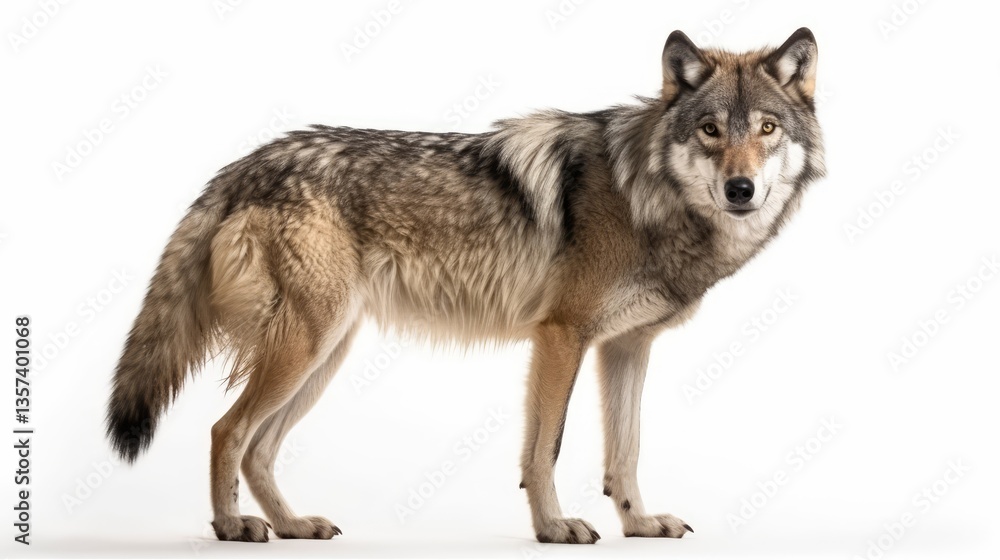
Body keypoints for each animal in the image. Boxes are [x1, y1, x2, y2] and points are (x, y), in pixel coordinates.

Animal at [107, 28, 824, 544]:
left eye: (766, 129)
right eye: (711, 130)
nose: (741, 189)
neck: (644, 194)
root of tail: (243, 163)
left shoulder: (625, 348)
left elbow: (626, 450)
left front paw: (639, 524)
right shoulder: (561, 337)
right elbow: (545, 448)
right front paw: (553, 528)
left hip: (325, 353)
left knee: (257, 447)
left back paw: (291, 525)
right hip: (305, 345)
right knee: (225, 431)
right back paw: (231, 527)